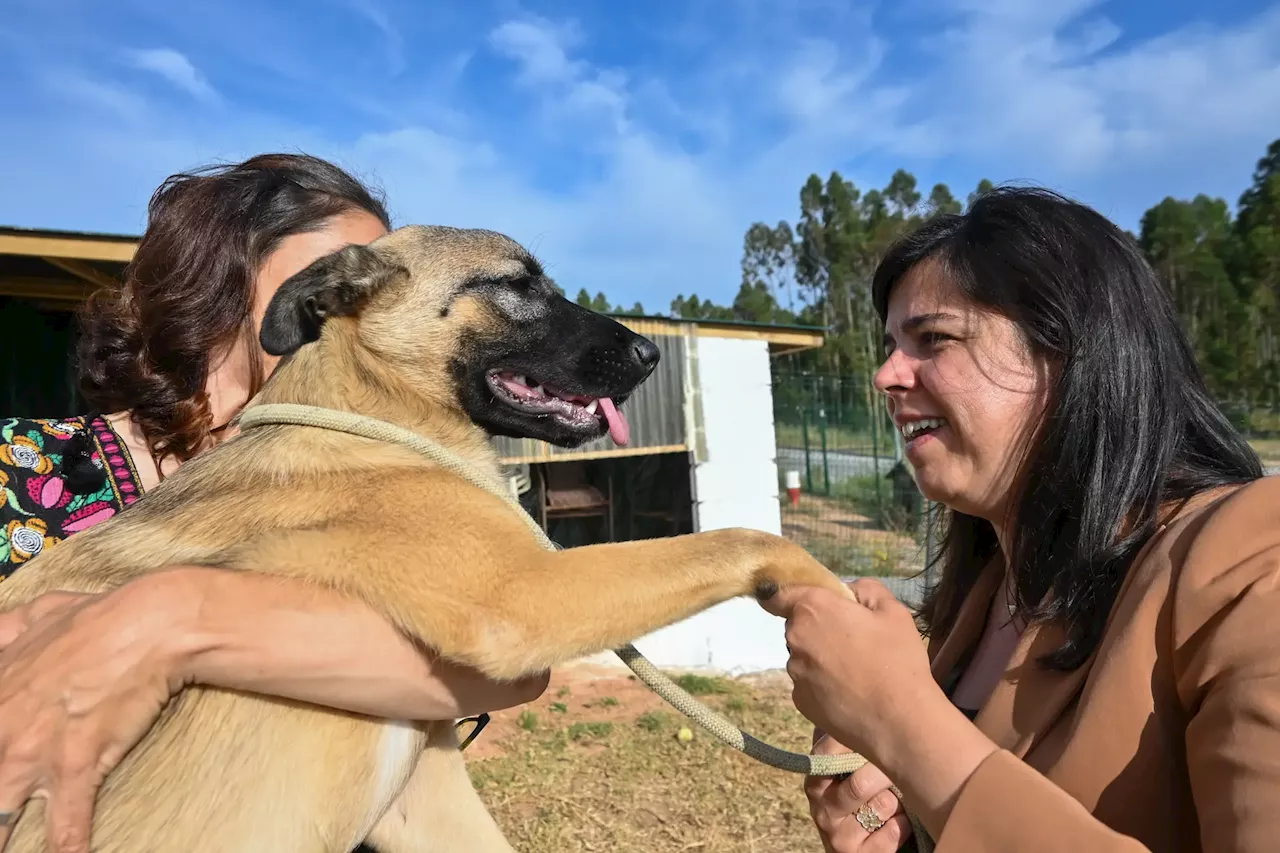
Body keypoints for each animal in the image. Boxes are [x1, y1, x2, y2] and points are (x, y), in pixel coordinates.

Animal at [2, 225, 860, 850]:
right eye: (517, 285)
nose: (651, 354)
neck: (373, 415)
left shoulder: (423, 788)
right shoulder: (522, 596)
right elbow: (740, 536)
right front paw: (837, 605)